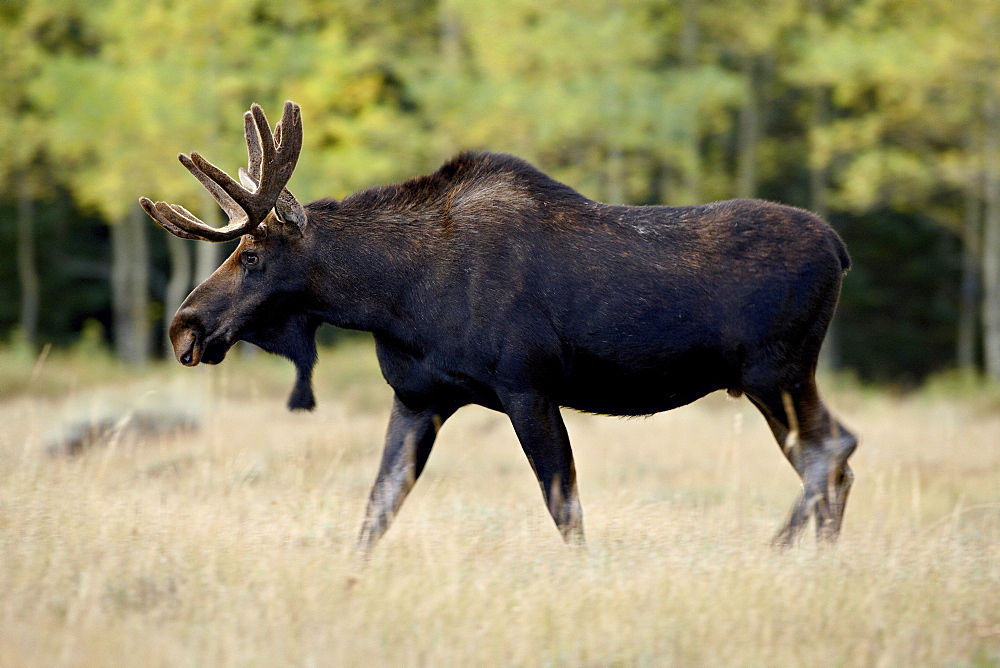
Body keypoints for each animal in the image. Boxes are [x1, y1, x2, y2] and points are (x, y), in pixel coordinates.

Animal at [139, 100, 860, 560]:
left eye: (252, 255)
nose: (183, 327)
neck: (392, 300)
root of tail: (840, 248)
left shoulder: (526, 386)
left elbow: (565, 508)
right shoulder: (419, 398)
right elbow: (376, 511)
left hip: (776, 370)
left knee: (831, 451)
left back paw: (780, 550)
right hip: (774, 379)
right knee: (834, 457)